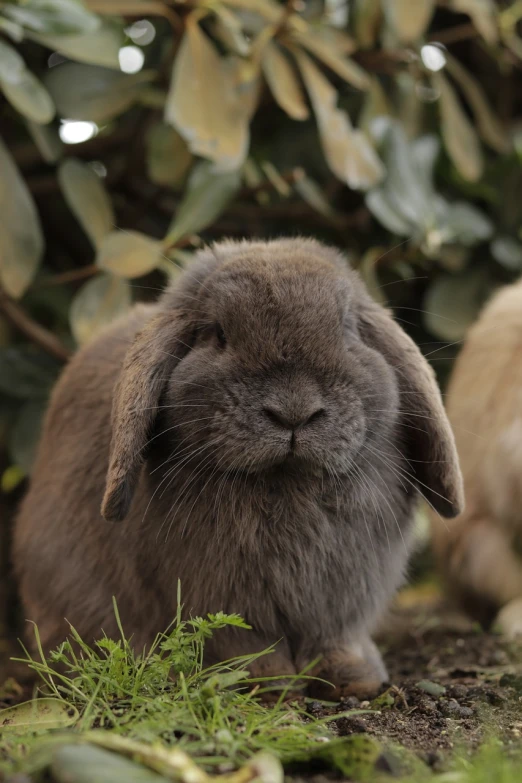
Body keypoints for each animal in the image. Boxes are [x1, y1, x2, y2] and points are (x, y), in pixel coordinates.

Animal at [11, 239, 460, 700]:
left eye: (348, 329)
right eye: (218, 333)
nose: (293, 412)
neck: (284, 482)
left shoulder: (342, 602)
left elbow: (335, 639)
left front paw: (355, 680)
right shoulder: (215, 594)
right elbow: (241, 640)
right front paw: (266, 682)